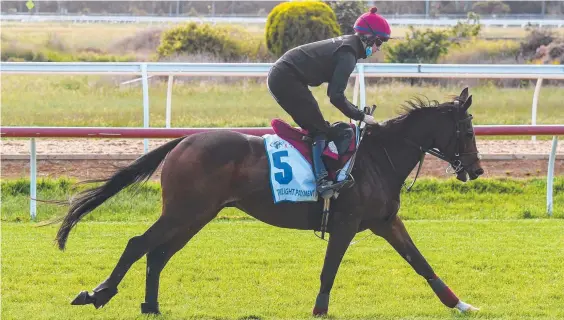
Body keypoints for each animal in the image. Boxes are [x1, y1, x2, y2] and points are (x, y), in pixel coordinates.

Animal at [51, 87, 484, 316]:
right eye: (466, 131)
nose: (477, 169)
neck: (379, 157)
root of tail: (184, 140)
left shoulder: (386, 221)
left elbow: (420, 262)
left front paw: (461, 304)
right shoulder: (346, 224)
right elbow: (329, 270)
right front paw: (319, 311)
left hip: (196, 215)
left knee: (157, 254)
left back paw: (151, 306)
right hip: (185, 211)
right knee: (138, 244)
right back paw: (98, 293)